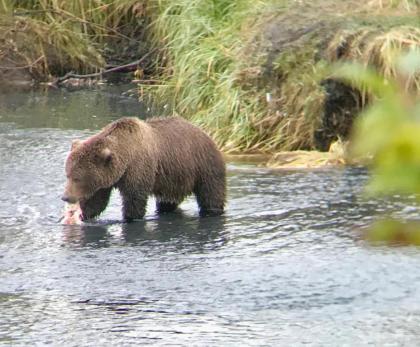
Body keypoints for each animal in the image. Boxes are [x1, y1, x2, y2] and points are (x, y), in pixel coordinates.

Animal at [61, 115, 226, 222]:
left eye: (77, 178)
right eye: (67, 175)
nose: (65, 197)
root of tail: (206, 134)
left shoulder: (138, 168)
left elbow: (134, 198)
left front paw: (129, 217)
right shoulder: (105, 178)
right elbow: (97, 200)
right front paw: (84, 215)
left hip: (203, 165)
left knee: (211, 193)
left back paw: (212, 211)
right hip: (174, 177)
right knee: (167, 199)